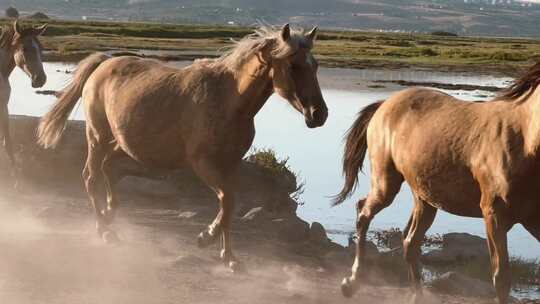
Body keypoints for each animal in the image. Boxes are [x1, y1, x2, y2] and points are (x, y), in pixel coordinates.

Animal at [0, 20, 47, 183]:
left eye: (41, 48)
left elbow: (7, 142)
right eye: (25, 49)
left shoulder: (4, 108)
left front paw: (15, 175)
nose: (41, 79)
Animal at [38, 24, 330, 270]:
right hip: (97, 136)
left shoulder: (231, 165)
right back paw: (105, 230)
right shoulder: (204, 164)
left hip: (124, 143)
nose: (319, 114)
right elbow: (227, 201)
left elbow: (229, 206)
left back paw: (111, 214)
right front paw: (206, 237)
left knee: (108, 168)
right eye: (293, 65)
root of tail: (104, 62)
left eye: (315, 65)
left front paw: (230, 258)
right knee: (91, 176)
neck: (229, 100)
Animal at [334, 63, 540, 302]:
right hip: (386, 183)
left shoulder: (534, 220)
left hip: (424, 198)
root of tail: (384, 104)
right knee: (364, 212)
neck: (523, 141)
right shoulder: (494, 215)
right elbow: (501, 278)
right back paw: (351, 283)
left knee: (410, 243)